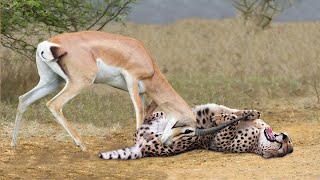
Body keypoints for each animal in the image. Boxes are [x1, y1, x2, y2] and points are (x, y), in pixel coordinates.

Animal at [10, 31, 220, 150]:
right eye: (187, 130)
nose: (167, 143)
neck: (149, 64)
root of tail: (49, 44)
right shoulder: (132, 80)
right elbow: (139, 111)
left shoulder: (142, 92)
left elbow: (145, 113)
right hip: (79, 82)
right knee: (54, 104)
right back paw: (82, 145)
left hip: (52, 81)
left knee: (23, 99)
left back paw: (13, 144)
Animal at [99, 103, 292, 160]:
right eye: (288, 143)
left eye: (284, 148)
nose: (284, 136)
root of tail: (142, 146)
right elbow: (237, 113)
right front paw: (249, 113)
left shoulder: (220, 141)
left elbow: (229, 121)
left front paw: (218, 119)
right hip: (157, 117)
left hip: (184, 139)